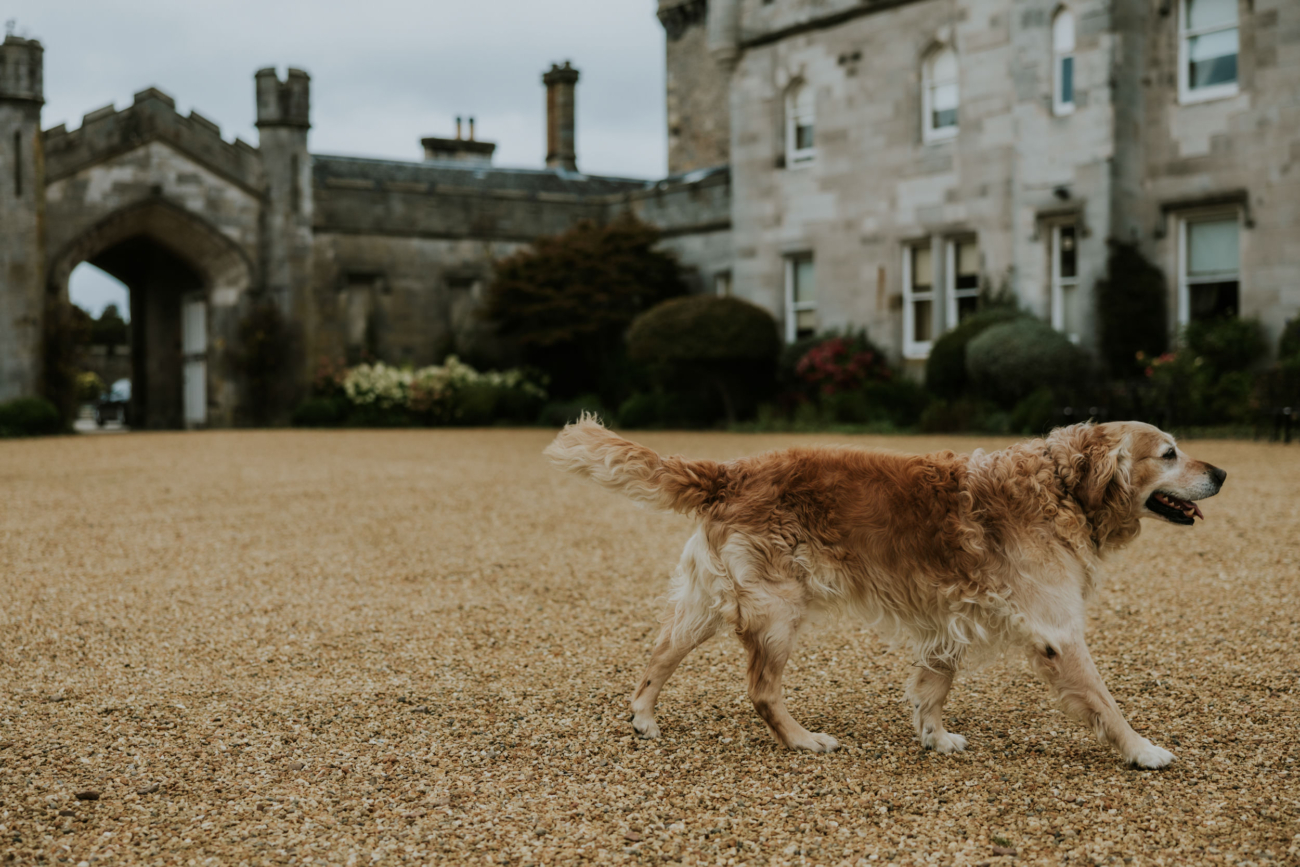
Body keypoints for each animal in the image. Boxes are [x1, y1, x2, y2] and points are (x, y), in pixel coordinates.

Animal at [546, 418, 1227, 764]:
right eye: (1169, 453)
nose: (1221, 472)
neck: (1061, 486)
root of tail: (730, 470)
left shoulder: (952, 618)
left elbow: (933, 687)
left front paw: (934, 737)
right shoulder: (1057, 631)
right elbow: (1106, 702)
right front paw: (1142, 749)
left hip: (708, 602)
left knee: (659, 654)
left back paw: (643, 718)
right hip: (777, 611)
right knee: (762, 691)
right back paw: (803, 739)